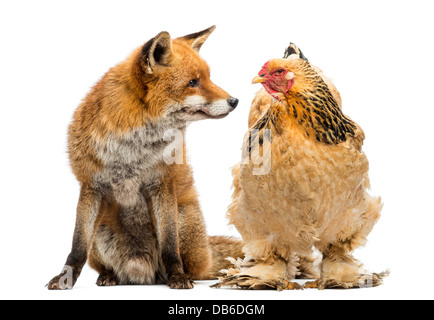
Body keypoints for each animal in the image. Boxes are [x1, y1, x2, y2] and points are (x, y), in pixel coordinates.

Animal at [48, 26, 244, 288]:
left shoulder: (162, 184)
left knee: (195, 268)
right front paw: (64, 278)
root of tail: (142, 274)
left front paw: (177, 276)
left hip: (184, 219)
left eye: (208, 78)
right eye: (193, 82)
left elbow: (169, 245)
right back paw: (108, 275)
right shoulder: (90, 185)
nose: (235, 101)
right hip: (101, 231)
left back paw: (180, 275)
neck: (131, 150)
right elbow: (77, 245)